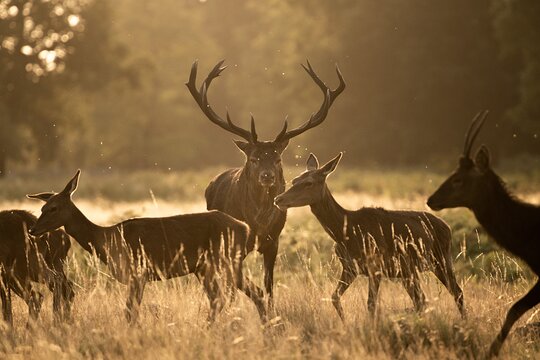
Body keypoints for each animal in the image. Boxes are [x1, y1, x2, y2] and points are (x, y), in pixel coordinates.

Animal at [28, 170, 268, 324]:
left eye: (53, 208)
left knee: (231, 296)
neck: (106, 239)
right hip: (209, 266)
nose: (32, 230)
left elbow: (130, 311)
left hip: (223, 260)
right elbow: (131, 311)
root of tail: (245, 228)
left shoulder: (138, 271)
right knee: (247, 294)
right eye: (42, 208)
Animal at [186, 59, 346, 306]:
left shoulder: (273, 241)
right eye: (254, 158)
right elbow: (248, 287)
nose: (267, 176)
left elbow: (269, 287)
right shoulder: (233, 244)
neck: (258, 222)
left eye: (278, 158)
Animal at [274, 153, 464, 320]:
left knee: (457, 292)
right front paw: (345, 323)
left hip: (441, 260)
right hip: (408, 271)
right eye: (294, 180)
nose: (278, 199)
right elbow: (334, 297)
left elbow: (371, 304)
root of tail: (447, 227)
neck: (346, 232)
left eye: (309, 183)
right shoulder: (350, 268)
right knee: (422, 300)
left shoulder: (375, 265)